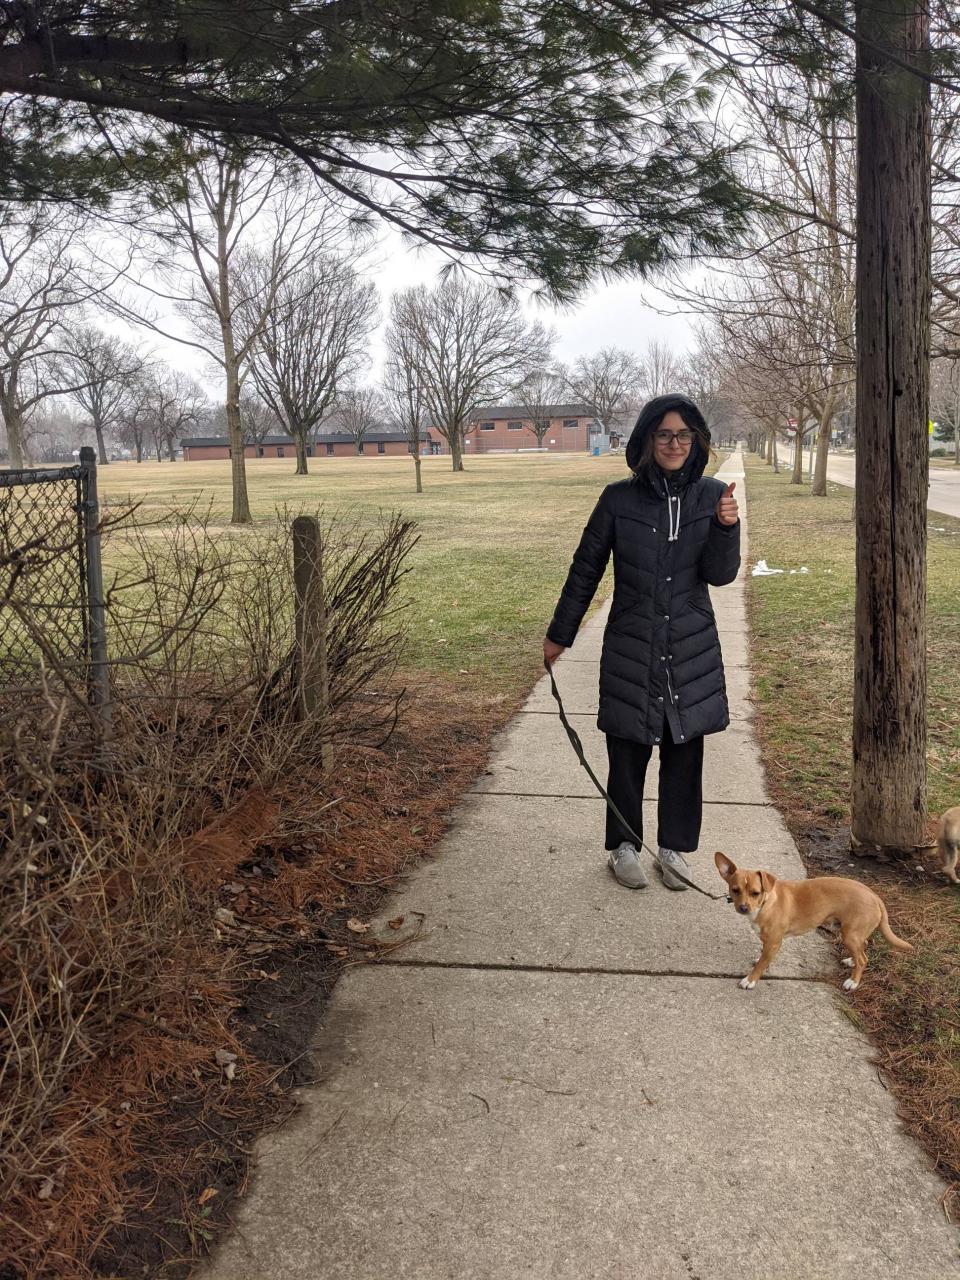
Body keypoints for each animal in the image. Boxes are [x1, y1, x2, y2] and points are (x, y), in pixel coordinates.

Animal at [714, 852, 912, 991]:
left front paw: (751, 979)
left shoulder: (774, 941)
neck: (766, 903)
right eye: (735, 890)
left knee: (863, 959)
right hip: (854, 933)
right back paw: (851, 961)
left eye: (755, 893)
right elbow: (764, 957)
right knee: (864, 946)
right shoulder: (769, 942)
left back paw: (853, 981)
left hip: (849, 934)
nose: (743, 908)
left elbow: (762, 964)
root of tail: (874, 896)